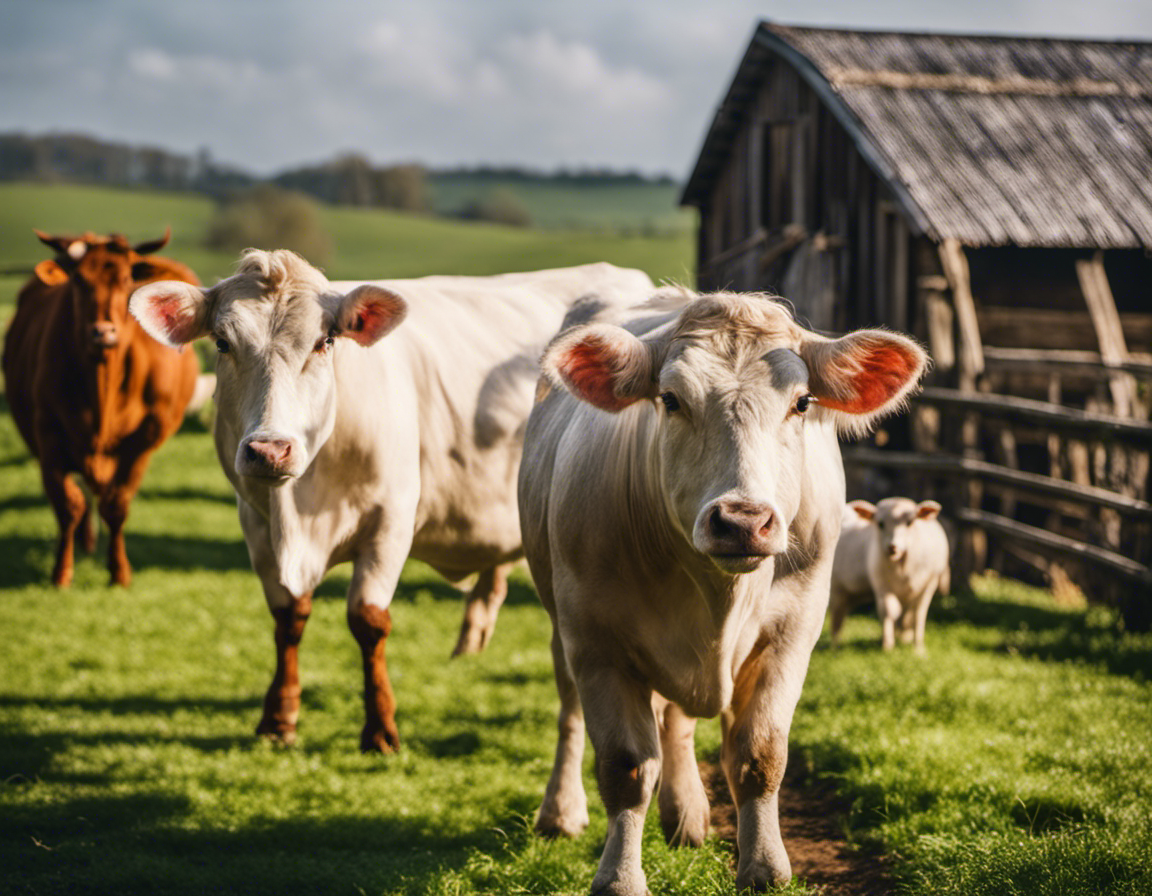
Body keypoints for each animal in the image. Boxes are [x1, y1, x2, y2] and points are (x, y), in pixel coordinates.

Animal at [2, 226, 199, 582]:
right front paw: (61, 573)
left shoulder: (144, 441)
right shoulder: (48, 436)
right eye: (79, 280)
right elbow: (68, 505)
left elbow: (116, 505)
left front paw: (119, 572)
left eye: (126, 280)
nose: (103, 332)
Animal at [130, 247, 654, 750]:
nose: (269, 449)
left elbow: (368, 620)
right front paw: (279, 718)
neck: (300, 509)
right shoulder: (255, 523)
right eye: (222, 343)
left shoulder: (391, 522)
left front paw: (380, 729)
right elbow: (288, 617)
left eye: (324, 342)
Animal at [520, 290, 926, 889]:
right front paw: (620, 878)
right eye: (670, 399)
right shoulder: (594, 640)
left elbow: (759, 755)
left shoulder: (793, 631)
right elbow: (626, 765)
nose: (742, 521)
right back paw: (561, 811)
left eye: (801, 402)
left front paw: (763, 866)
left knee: (677, 721)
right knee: (573, 711)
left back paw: (685, 813)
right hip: (559, 622)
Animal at [834, 495, 949, 649]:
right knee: (836, 619)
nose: (892, 547)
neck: (901, 569)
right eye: (880, 524)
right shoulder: (881, 584)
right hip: (837, 590)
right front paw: (887, 645)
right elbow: (889, 610)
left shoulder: (929, 584)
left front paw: (918, 648)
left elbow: (918, 614)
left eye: (910, 522)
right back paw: (835, 646)